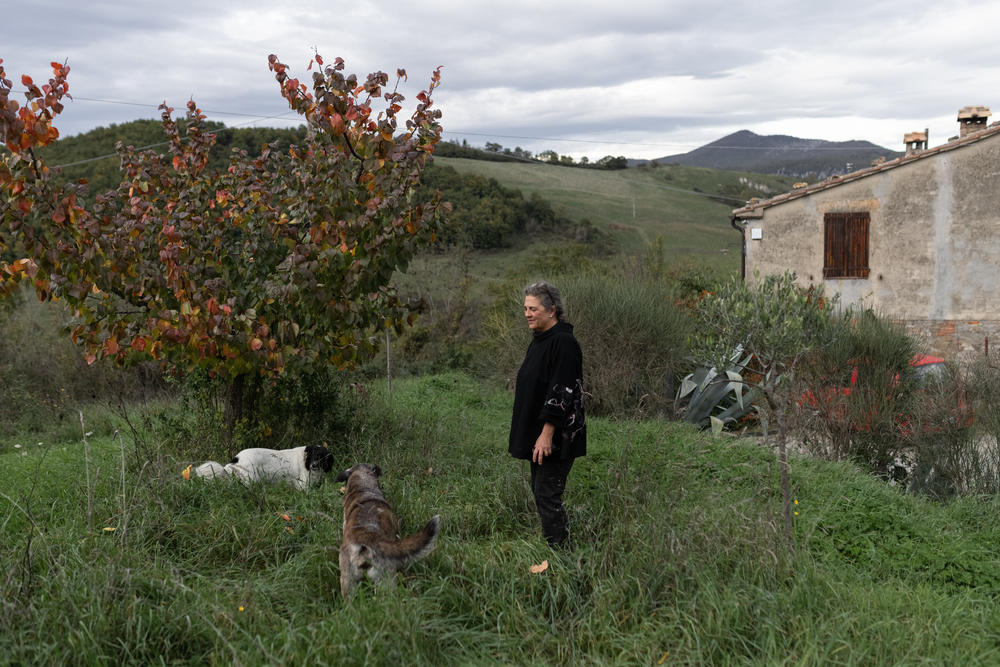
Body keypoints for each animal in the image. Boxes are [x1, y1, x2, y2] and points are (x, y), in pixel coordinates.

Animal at [182, 444, 334, 490]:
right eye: (315, 456)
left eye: (322, 458)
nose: (314, 465)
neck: (306, 461)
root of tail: (236, 459)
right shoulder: (303, 486)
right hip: (251, 479)